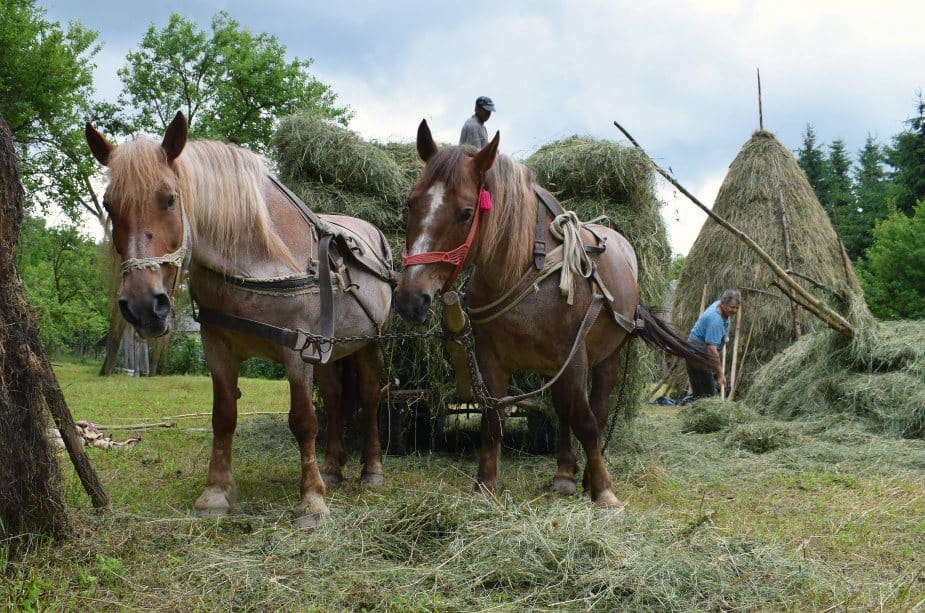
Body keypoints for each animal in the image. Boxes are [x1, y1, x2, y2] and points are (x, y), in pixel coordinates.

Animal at [83, 112, 394, 528]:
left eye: (170, 198)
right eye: (109, 205)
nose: (143, 305)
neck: (259, 260)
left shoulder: (297, 349)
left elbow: (304, 420)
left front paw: (311, 500)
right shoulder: (218, 347)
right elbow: (224, 417)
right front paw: (216, 493)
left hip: (370, 344)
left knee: (371, 397)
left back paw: (371, 469)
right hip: (330, 351)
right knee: (335, 397)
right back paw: (331, 468)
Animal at [394, 122, 712, 510]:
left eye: (466, 212)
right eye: (411, 201)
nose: (410, 298)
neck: (525, 273)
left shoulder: (575, 357)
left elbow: (586, 421)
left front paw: (604, 490)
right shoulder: (491, 360)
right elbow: (493, 419)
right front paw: (486, 486)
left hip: (605, 358)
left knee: (594, 411)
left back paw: (587, 475)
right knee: (563, 410)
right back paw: (563, 474)